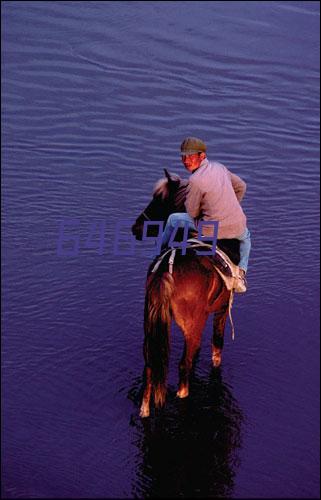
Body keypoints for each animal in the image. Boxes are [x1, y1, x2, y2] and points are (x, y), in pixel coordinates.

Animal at [131, 172, 239, 418]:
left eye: (159, 201)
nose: (136, 227)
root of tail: (165, 272)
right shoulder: (220, 310)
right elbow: (216, 345)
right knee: (183, 364)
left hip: (150, 323)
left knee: (151, 364)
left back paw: (145, 409)